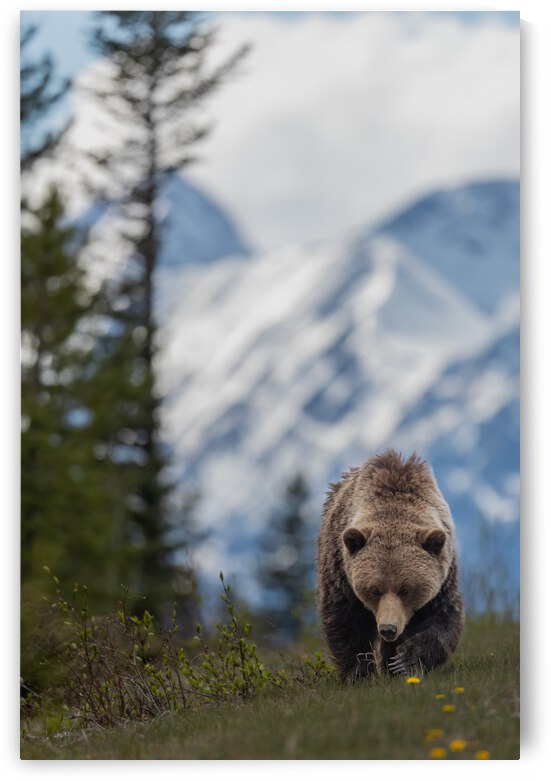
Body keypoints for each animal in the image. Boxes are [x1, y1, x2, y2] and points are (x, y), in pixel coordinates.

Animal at [316, 449, 464, 681]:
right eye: (374, 590)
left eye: (406, 590)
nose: (388, 629)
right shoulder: (341, 571)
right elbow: (346, 621)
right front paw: (359, 673)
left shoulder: (443, 577)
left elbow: (442, 619)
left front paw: (403, 662)